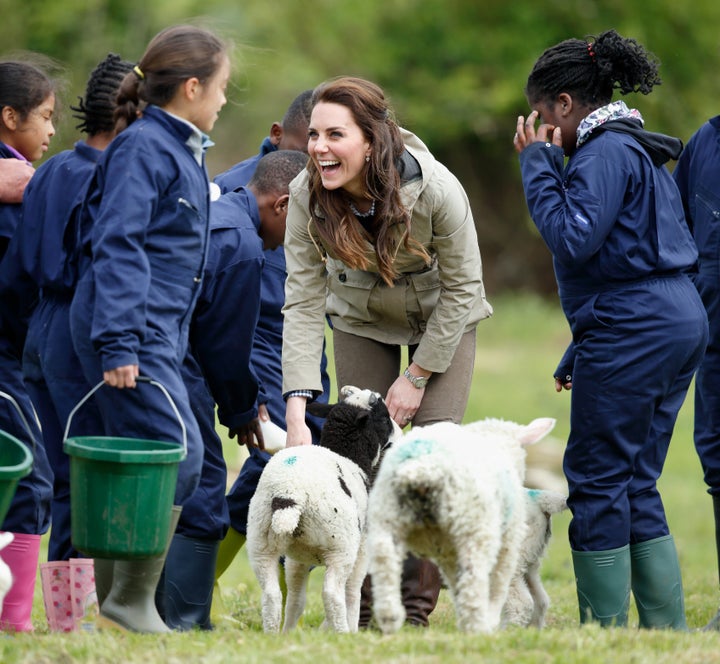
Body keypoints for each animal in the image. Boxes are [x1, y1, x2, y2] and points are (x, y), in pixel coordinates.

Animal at [246, 384, 404, 632]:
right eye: (385, 417)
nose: (400, 434)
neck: (350, 457)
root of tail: (288, 493)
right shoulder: (361, 549)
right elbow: (353, 593)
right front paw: (351, 629)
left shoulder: (297, 558)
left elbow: (296, 599)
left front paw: (289, 632)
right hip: (340, 547)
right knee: (333, 594)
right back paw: (342, 632)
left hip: (260, 543)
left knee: (271, 596)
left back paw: (272, 634)